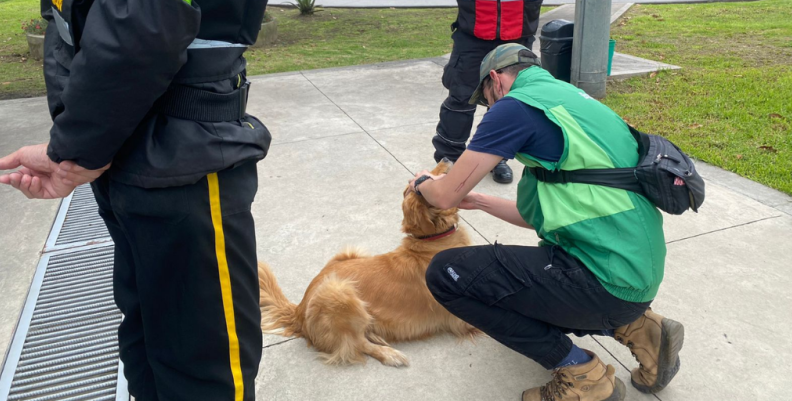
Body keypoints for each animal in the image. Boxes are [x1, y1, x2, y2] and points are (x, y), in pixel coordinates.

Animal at [258, 159, 476, 366]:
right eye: (426, 179)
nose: (446, 157)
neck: (431, 240)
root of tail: (299, 309)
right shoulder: (459, 319)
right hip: (337, 292)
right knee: (355, 344)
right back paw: (389, 354)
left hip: (350, 253)